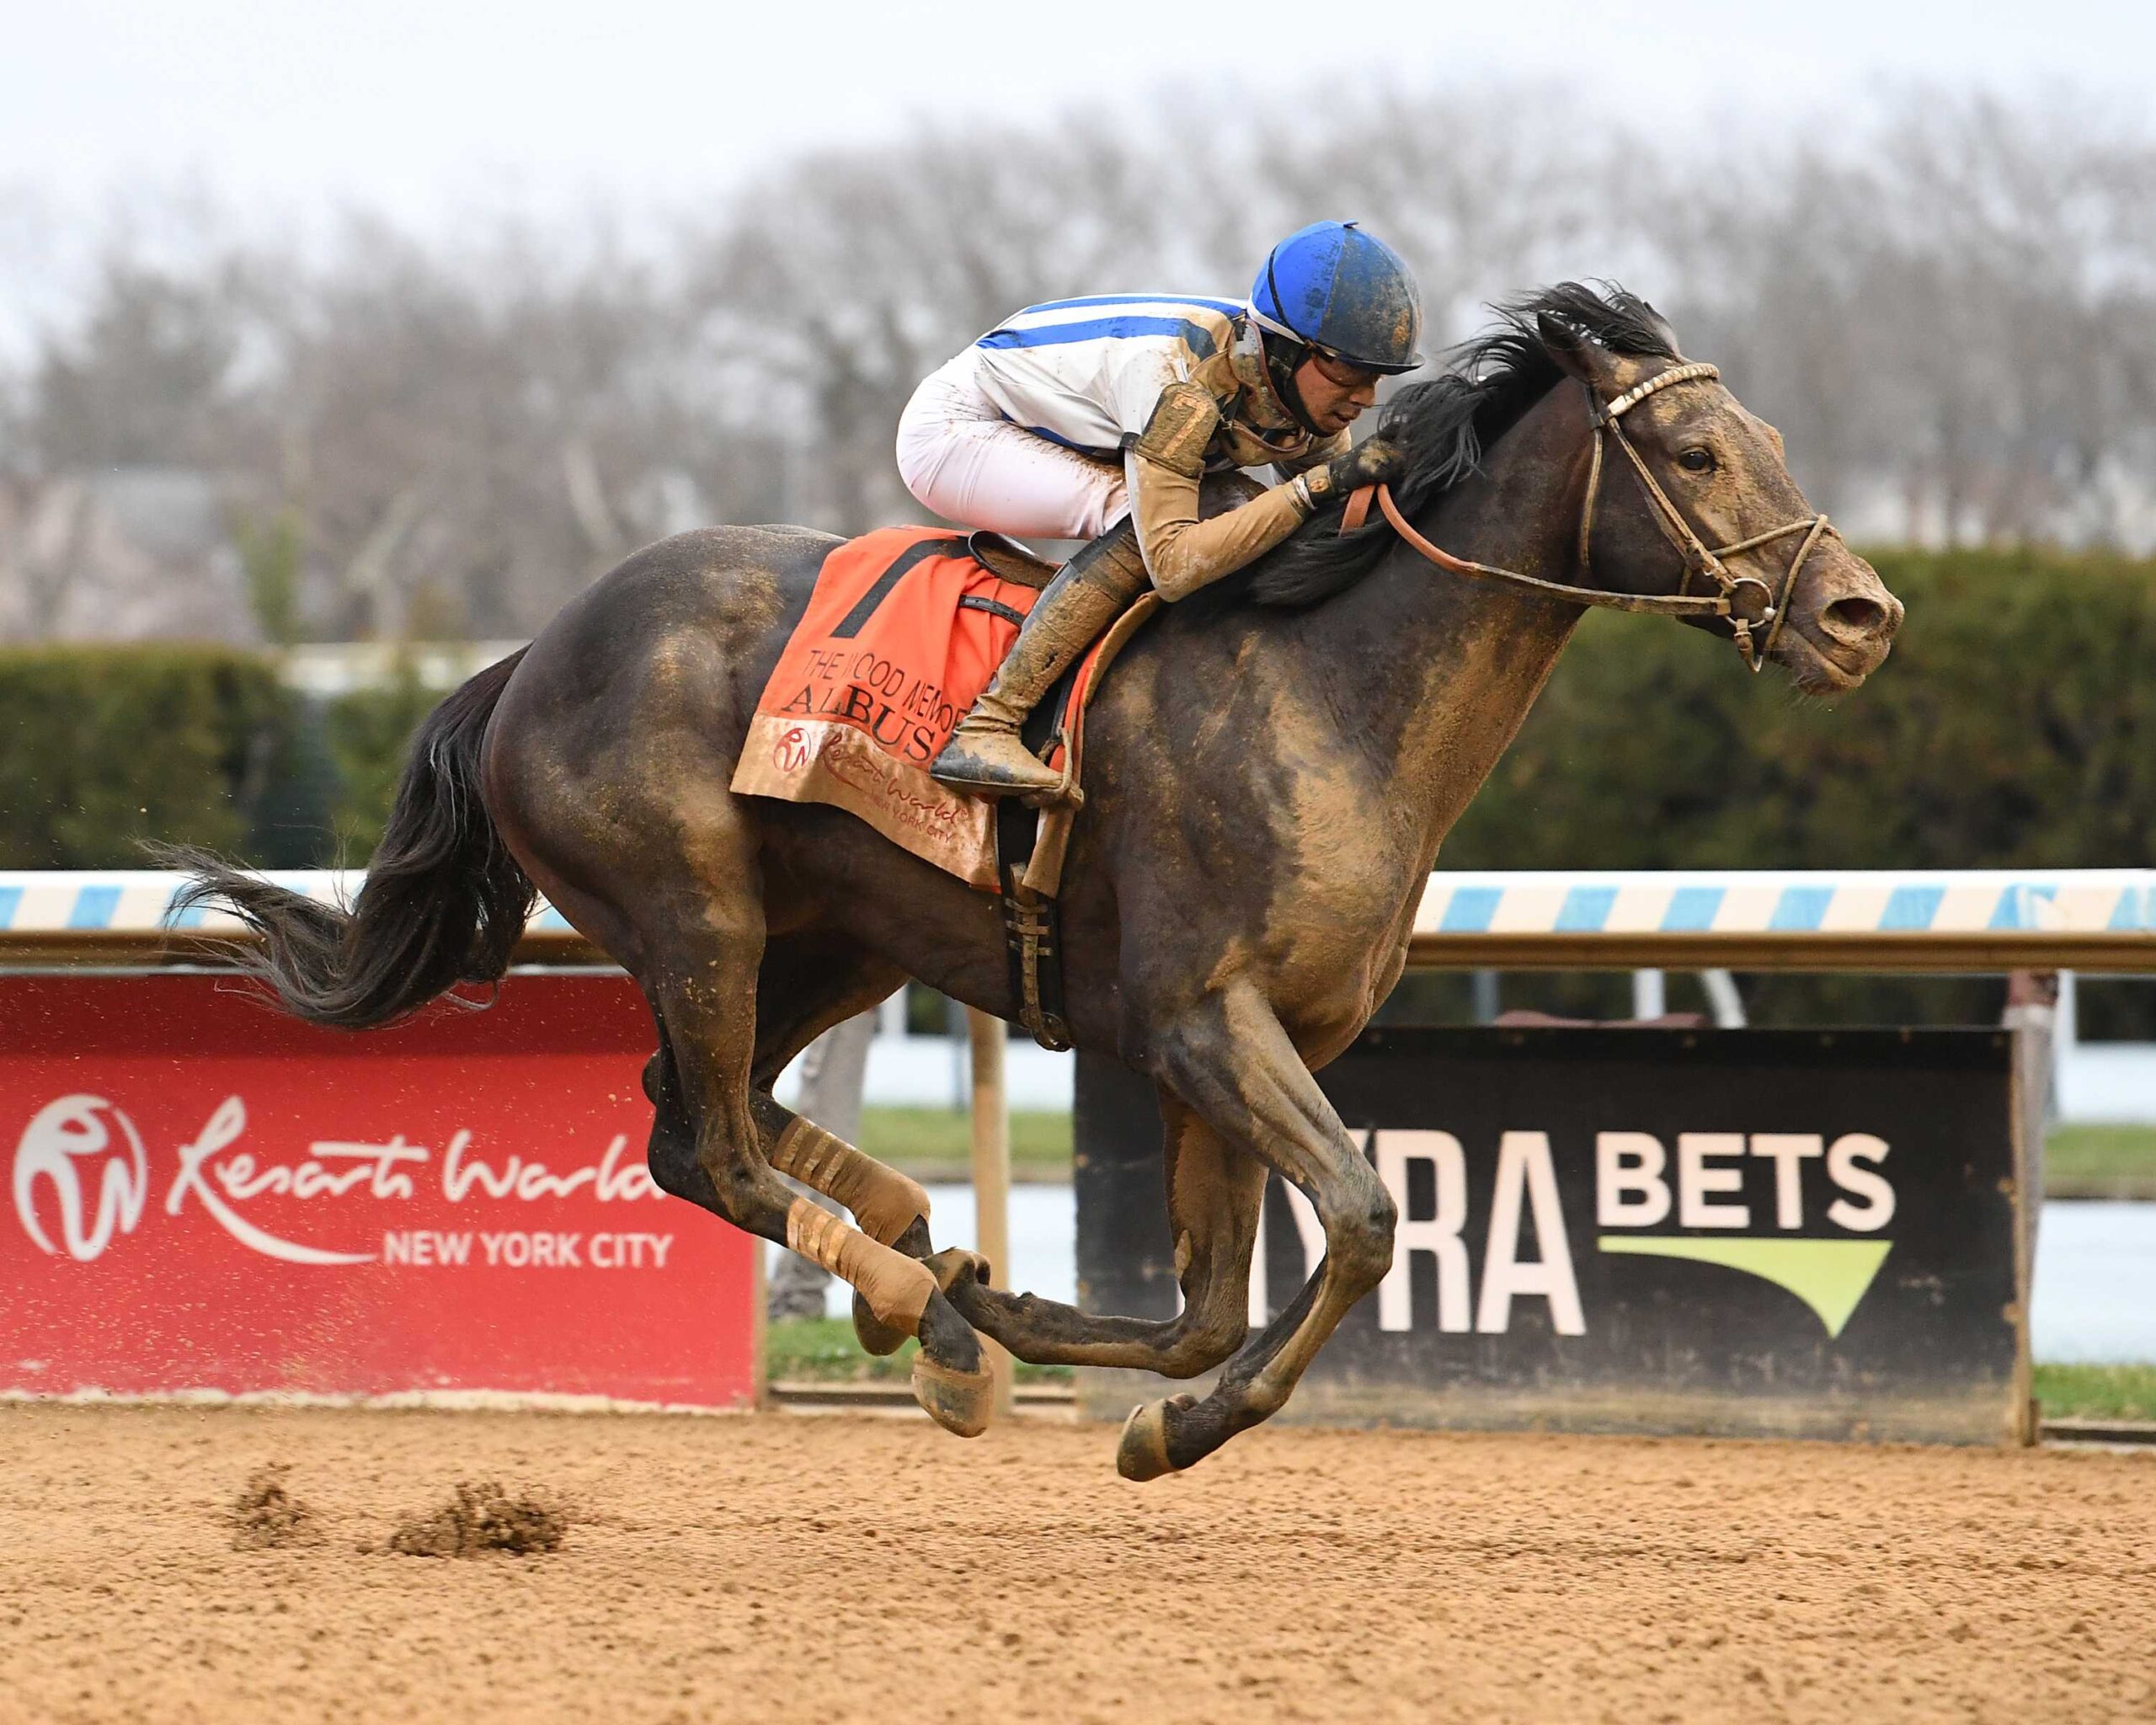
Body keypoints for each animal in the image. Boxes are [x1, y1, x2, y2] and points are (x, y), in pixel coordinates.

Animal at [175, 283, 1902, 1479]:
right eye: (1694, 450)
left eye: (1769, 443)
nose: (1862, 615)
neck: (1329, 692)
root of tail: (527, 658)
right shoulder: (1202, 1019)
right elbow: (1358, 1219)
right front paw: (1159, 1424)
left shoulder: (1251, 1042)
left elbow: (1211, 1300)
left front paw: (1051, 1340)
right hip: (693, 911)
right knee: (713, 1145)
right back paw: (907, 1289)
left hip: (839, 938)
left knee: (691, 1120)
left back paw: (919, 1274)